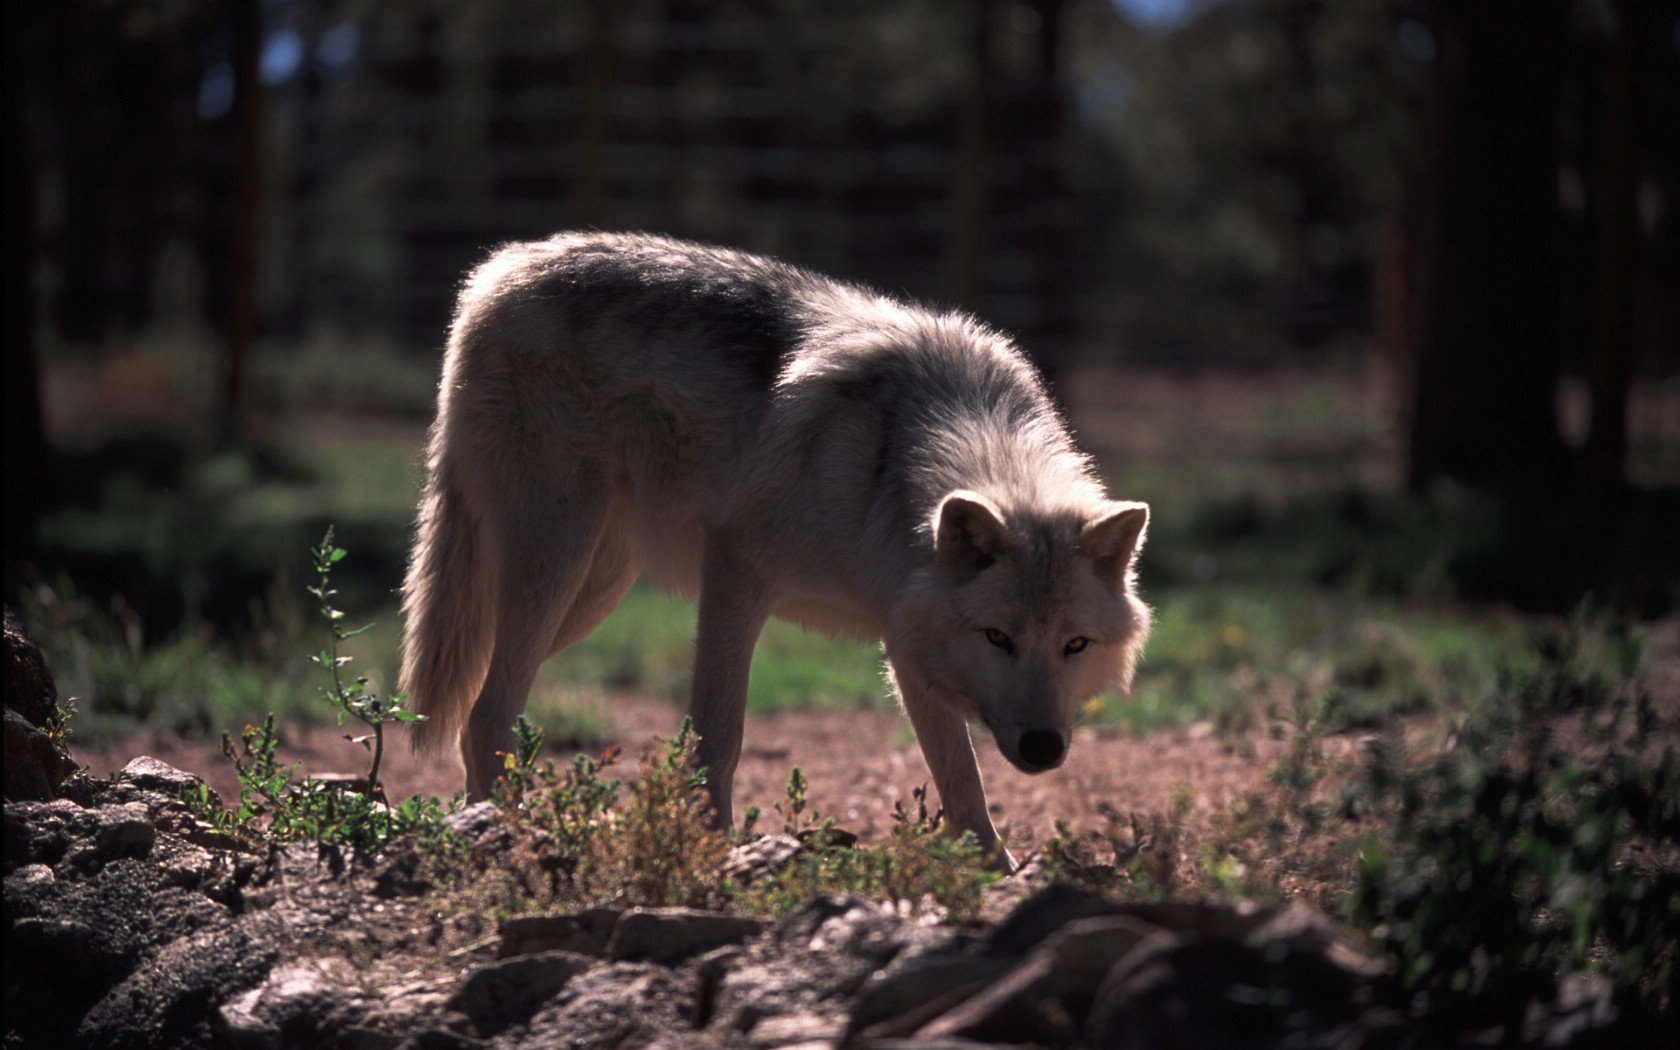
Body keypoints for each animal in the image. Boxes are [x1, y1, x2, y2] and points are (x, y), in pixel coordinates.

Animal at [399, 228, 1149, 866]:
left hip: (590, 594)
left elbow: (962, 783)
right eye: (997, 637)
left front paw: (997, 876)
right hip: (557, 566)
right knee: (487, 713)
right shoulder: (736, 574)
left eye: (1075, 645)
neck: (891, 468)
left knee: (475, 707)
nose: (1043, 747)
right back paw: (504, 839)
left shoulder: (906, 640)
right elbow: (718, 736)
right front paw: (710, 855)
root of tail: (498, 270)